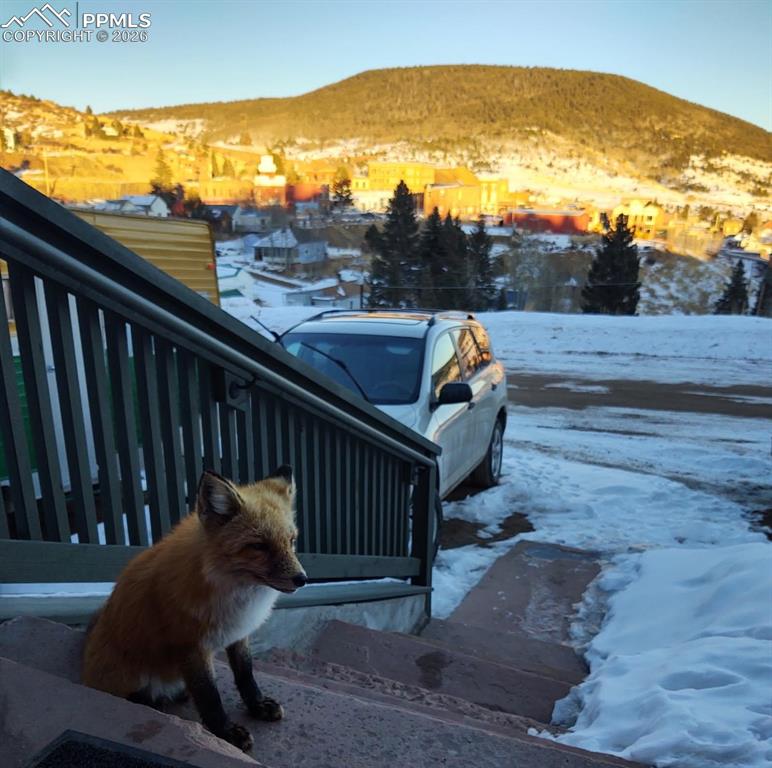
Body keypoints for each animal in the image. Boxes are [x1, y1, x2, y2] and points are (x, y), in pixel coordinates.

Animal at [82, 465, 307, 752]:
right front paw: (226, 733)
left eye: (292, 541)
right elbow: (209, 695)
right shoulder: (191, 647)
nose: (302, 579)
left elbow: (246, 673)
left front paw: (257, 705)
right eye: (259, 546)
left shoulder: (238, 634)